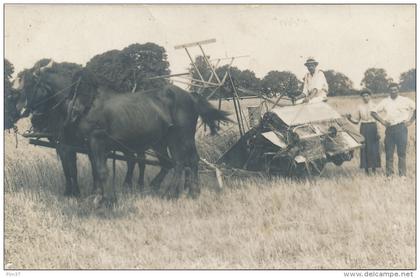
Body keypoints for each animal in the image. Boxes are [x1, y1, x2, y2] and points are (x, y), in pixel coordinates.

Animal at [67, 69, 230, 204]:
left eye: (86, 88)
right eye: (74, 88)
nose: (74, 110)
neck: (93, 106)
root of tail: (190, 96)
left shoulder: (97, 141)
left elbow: (101, 171)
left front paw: (107, 200)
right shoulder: (92, 146)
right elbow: (96, 170)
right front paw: (97, 196)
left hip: (180, 138)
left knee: (181, 162)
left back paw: (172, 193)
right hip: (164, 142)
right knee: (181, 162)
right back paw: (188, 191)